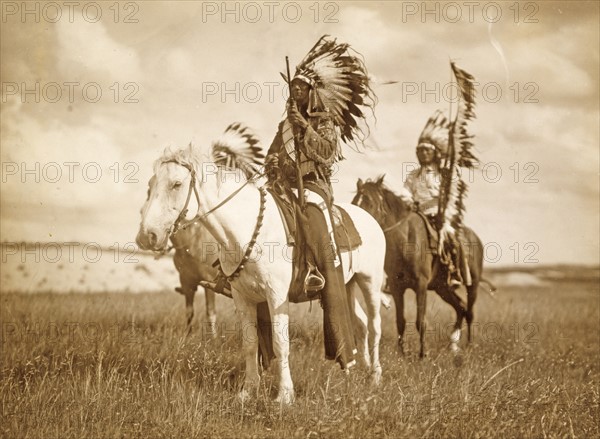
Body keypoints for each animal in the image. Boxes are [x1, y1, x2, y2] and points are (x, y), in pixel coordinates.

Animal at [136, 143, 384, 404]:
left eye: (176, 184)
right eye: (151, 185)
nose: (146, 236)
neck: (245, 232)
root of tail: (370, 218)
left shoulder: (276, 297)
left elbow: (280, 343)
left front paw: (284, 395)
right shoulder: (243, 298)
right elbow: (250, 343)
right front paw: (248, 391)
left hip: (370, 282)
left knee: (375, 326)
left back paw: (375, 376)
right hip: (348, 285)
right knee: (361, 323)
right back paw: (358, 369)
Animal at [352, 175, 488, 358]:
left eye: (370, 203)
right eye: (354, 202)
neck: (405, 241)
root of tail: (475, 238)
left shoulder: (420, 285)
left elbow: (420, 321)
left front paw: (423, 354)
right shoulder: (397, 287)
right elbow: (400, 321)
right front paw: (402, 354)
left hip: (472, 284)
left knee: (470, 312)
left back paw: (469, 345)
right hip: (443, 288)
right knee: (461, 308)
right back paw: (453, 345)